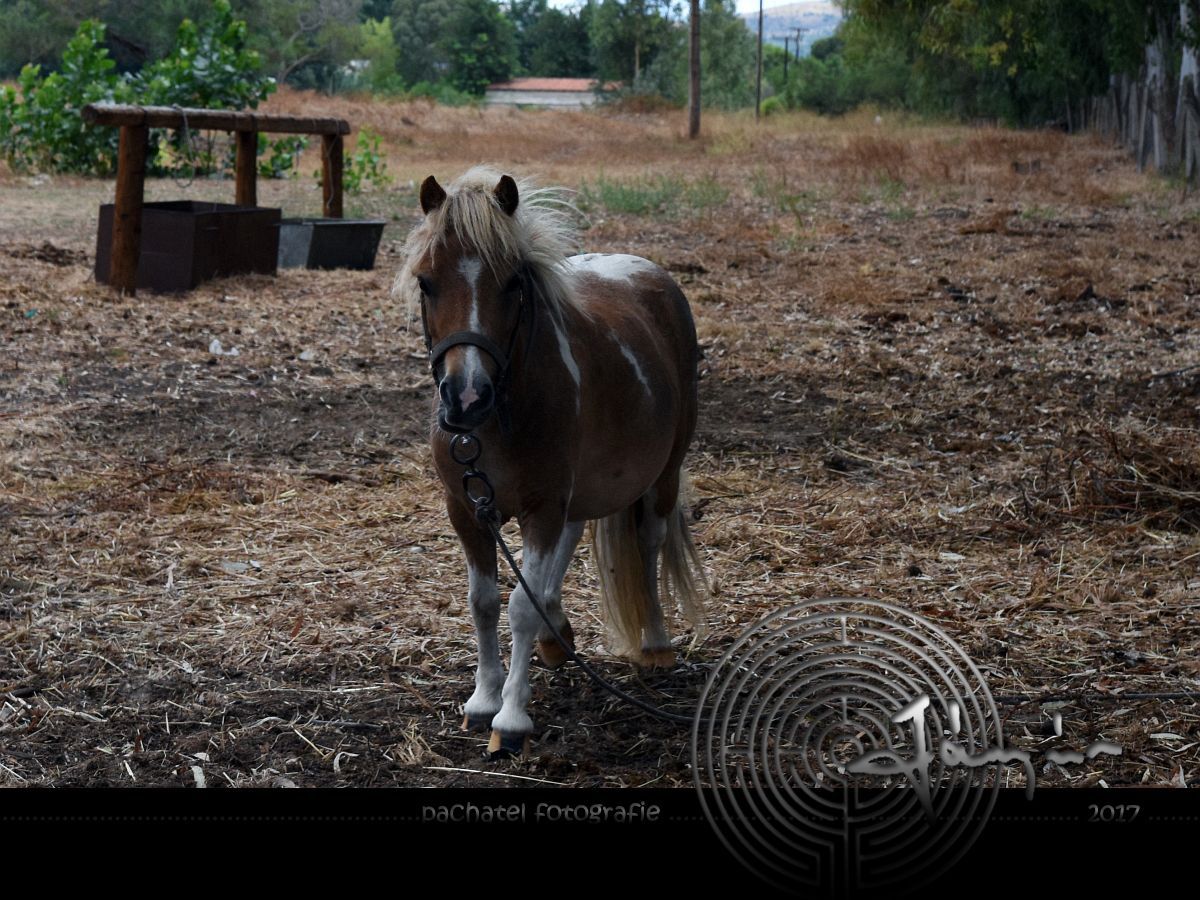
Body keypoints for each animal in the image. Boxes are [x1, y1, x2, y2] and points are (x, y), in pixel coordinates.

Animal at [398, 164, 705, 753]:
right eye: (427, 282)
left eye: (512, 283)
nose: (466, 397)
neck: (499, 417)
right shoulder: (467, 511)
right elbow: (484, 600)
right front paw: (482, 700)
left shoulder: (542, 505)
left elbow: (520, 605)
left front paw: (512, 718)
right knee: (572, 538)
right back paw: (556, 633)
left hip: (664, 473)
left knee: (648, 543)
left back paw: (655, 644)